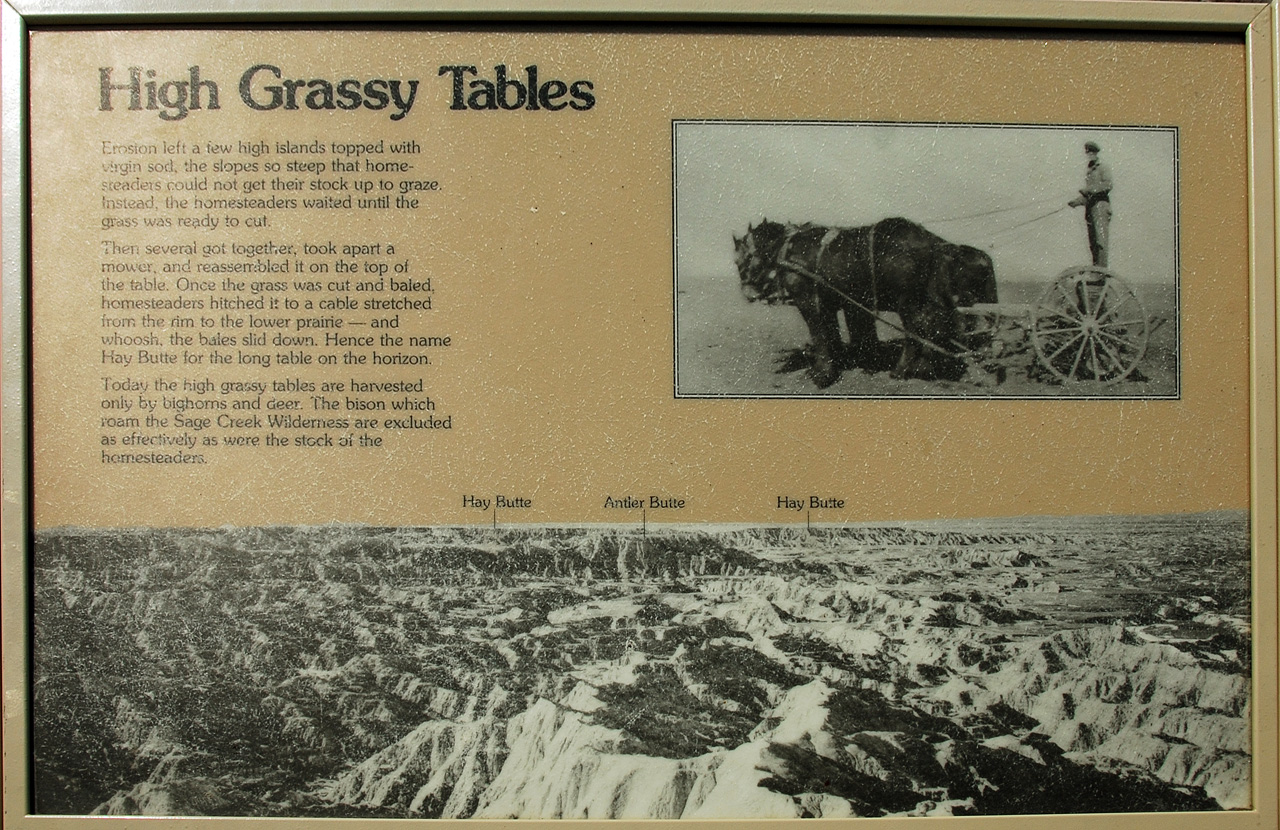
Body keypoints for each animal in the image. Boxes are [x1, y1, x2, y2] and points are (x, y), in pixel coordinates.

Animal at [737, 215, 993, 386]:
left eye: (743, 259)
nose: (748, 293)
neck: (789, 248)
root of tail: (931, 241)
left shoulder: (809, 301)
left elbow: (818, 333)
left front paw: (822, 374)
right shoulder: (831, 303)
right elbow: (832, 332)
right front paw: (839, 362)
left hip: (906, 300)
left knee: (916, 328)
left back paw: (902, 369)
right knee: (934, 325)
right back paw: (925, 366)